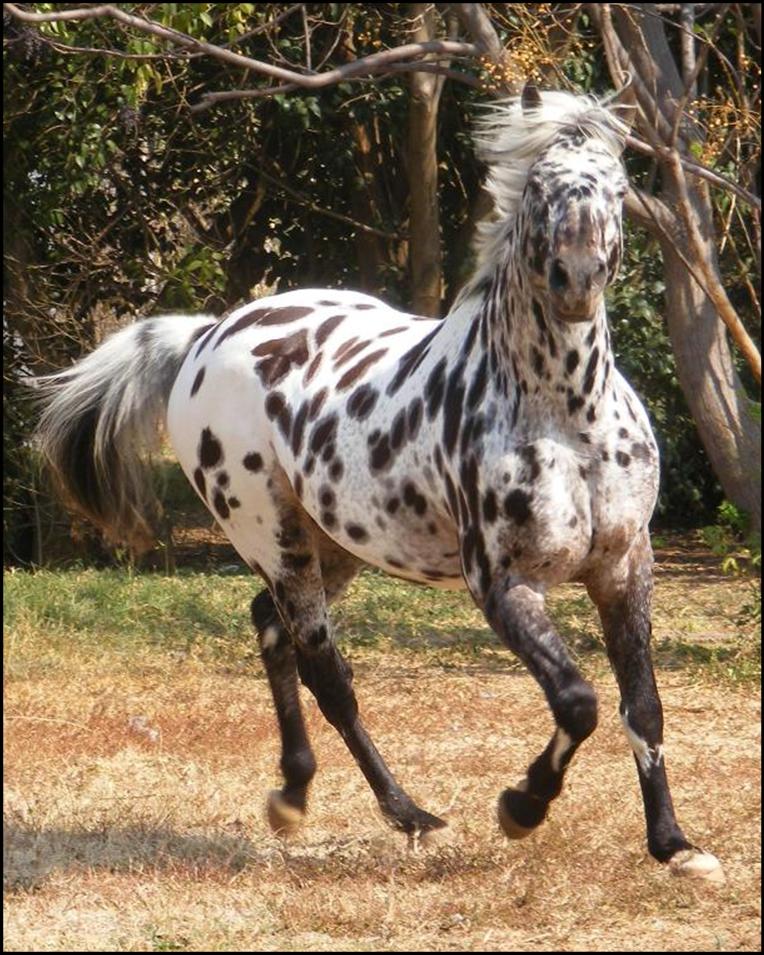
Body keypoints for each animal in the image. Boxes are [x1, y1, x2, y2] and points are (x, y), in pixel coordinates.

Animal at [31, 88, 724, 880]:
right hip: (276, 540)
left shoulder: (624, 567)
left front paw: (675, 845)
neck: (565, 416)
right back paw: (410, 816)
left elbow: (644, 706)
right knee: (327, 674)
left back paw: (294, 792)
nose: (575, 278)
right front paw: (520, 807)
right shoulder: (503, 583)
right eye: (540, 190)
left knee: (271, 630)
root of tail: (209, 335)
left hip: (334, 546)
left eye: (617, 188)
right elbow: (579, 701)